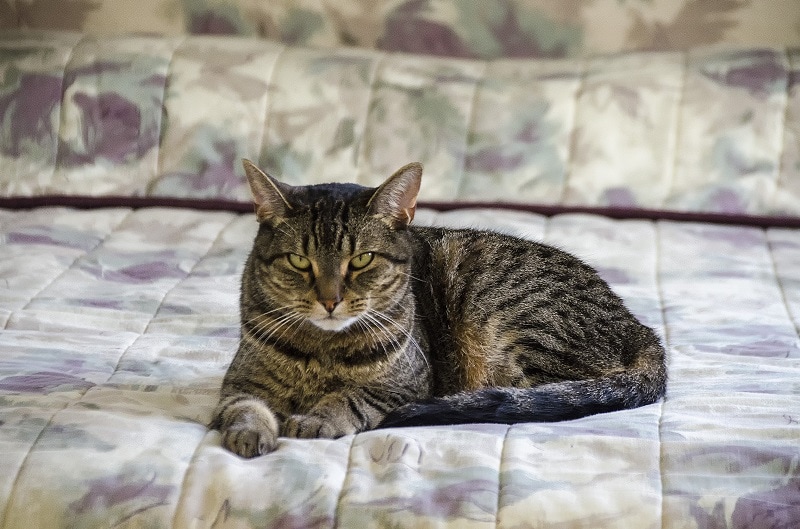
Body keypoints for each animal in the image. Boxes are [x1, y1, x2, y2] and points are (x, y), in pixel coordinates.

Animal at [209, 159, 664, 456]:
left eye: (361, 260)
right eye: (299, 261)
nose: (329, 300)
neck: (321, 352)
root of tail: (641, 329)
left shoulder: (405, 385)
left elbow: (349, 398)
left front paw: (318, 417)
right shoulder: (241, 383)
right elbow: (242, 409)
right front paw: (251, 433)